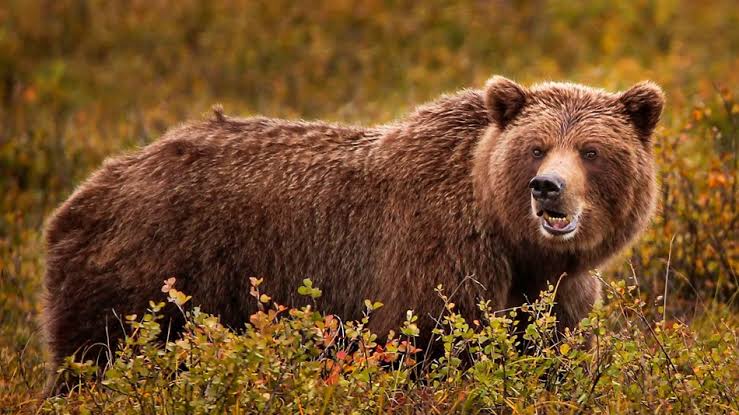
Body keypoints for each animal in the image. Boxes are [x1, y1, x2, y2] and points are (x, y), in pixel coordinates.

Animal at [40, 75, 664, 394]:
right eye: (536, 147)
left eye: (591, 150)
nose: (547, 188)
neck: (514, 241)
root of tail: (88, 188)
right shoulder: (435, 260)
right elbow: (431, 347)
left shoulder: (558, 293)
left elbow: (547, 351)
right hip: (147, 274)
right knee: (97, 357)